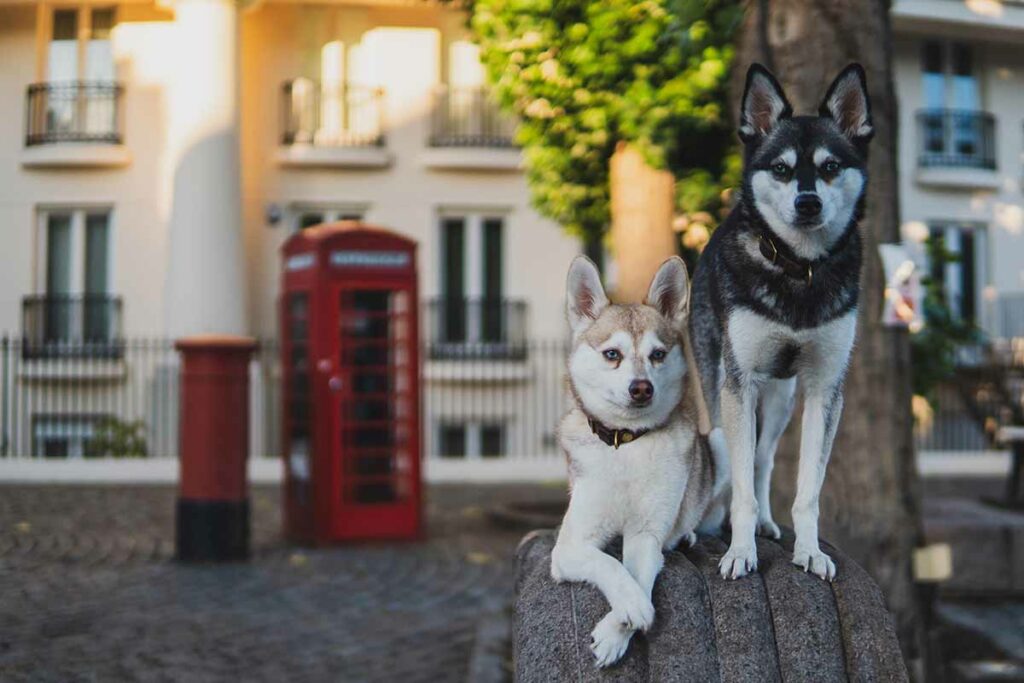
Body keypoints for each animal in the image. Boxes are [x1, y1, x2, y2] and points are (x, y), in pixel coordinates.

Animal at [552, 255, 729, 667]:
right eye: (612, 354)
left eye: (658, 355)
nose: (641, 388)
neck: (626, 444)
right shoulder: (569, 547)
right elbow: (609, 565)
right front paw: (631, 608)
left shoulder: (646, 535)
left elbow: (637, 572)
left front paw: (617, 628)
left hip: (719, 441)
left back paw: (688, 533)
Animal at [688, 62, 872, 581]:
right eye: (782, 169)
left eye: (830, 167)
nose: (808, 203)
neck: (799, 269)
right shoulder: (740, 382)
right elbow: (742, 488)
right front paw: (739, 551)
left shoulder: (824, 389)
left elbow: (807, 489)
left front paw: (809, 550)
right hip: (722, 389)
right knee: (733, 460)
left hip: (780, 400)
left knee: (763, 458)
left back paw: (767, 523)